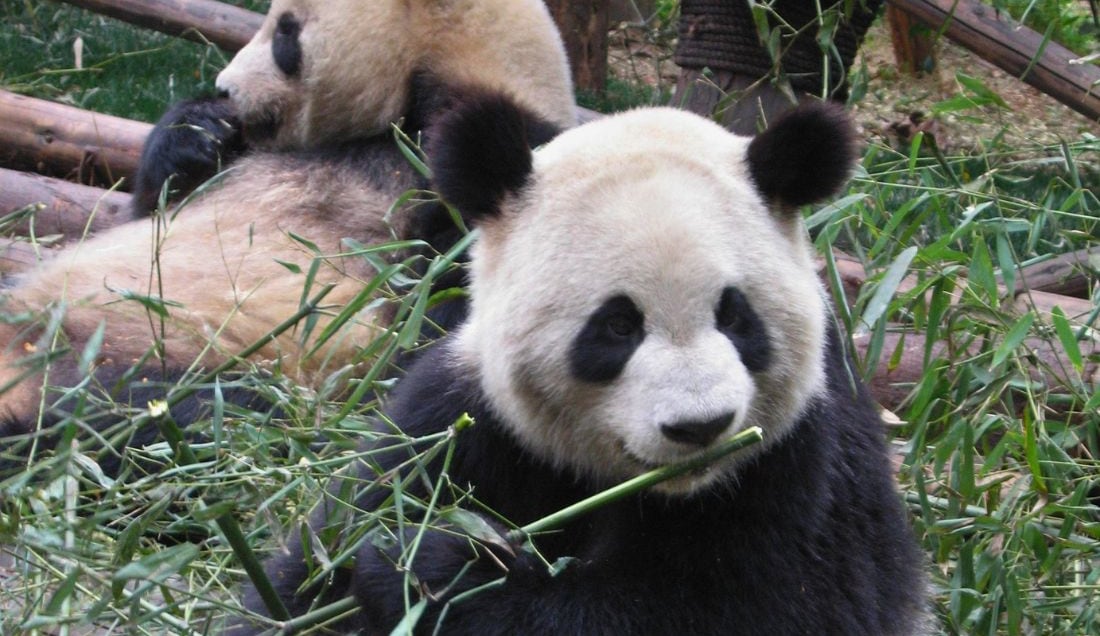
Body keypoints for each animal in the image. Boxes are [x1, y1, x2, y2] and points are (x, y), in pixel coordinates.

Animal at [0, 0, 574, 464]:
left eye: (285, 32)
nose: (225, 87)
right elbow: (151, 209)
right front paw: (197, 129)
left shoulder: (484, 175)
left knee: (187, 415)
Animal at [237, 91, 928, 634]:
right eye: (618, 325)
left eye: (736, 317)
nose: (700, 427)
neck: (669, 487)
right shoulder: (465, 423)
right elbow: (328, 556)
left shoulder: (801, 464)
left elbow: (733, 609)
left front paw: (437, 573)